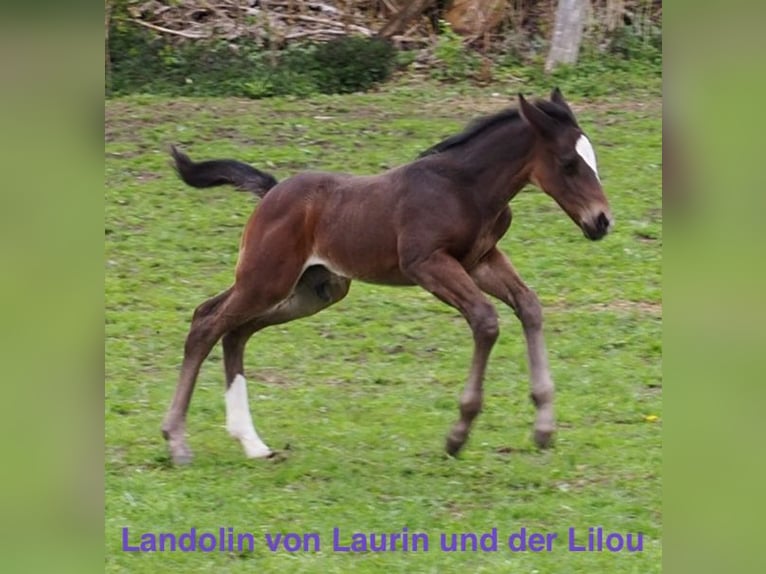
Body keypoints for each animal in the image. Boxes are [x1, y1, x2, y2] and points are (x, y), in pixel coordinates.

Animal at [161, 88, 613, 465]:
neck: (467, 188)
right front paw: (458, 435)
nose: (602, 221)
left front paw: (544, 427)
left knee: (236, 331)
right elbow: (485, 320)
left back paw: (252, 443)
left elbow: (529, 306)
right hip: (266, 278)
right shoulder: (427, 263)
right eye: (568, 163)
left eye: (593, 161)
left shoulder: (481, 260)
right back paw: (178, 440)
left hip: (314, 290)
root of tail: (272, 190)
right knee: (206, 322)